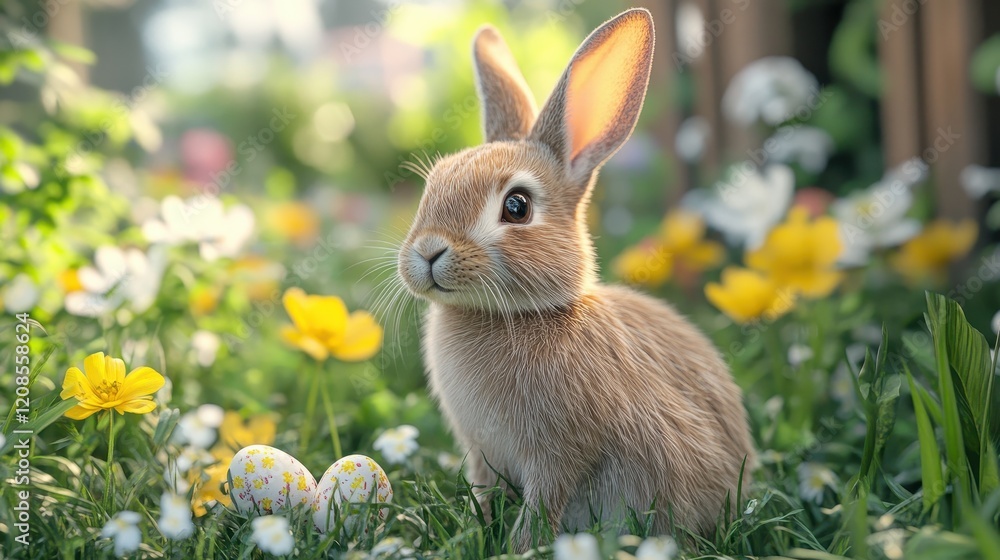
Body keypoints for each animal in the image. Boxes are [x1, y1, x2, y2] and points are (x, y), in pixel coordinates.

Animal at [395, 8, 756, 552]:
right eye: (433, 183)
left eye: (516, 206)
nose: (428, 251)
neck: (522, 314)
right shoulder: (481, 454)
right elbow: (483, 492)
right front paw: (478, 533)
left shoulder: (559, 454)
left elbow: (542, 506)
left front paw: (517, 548)